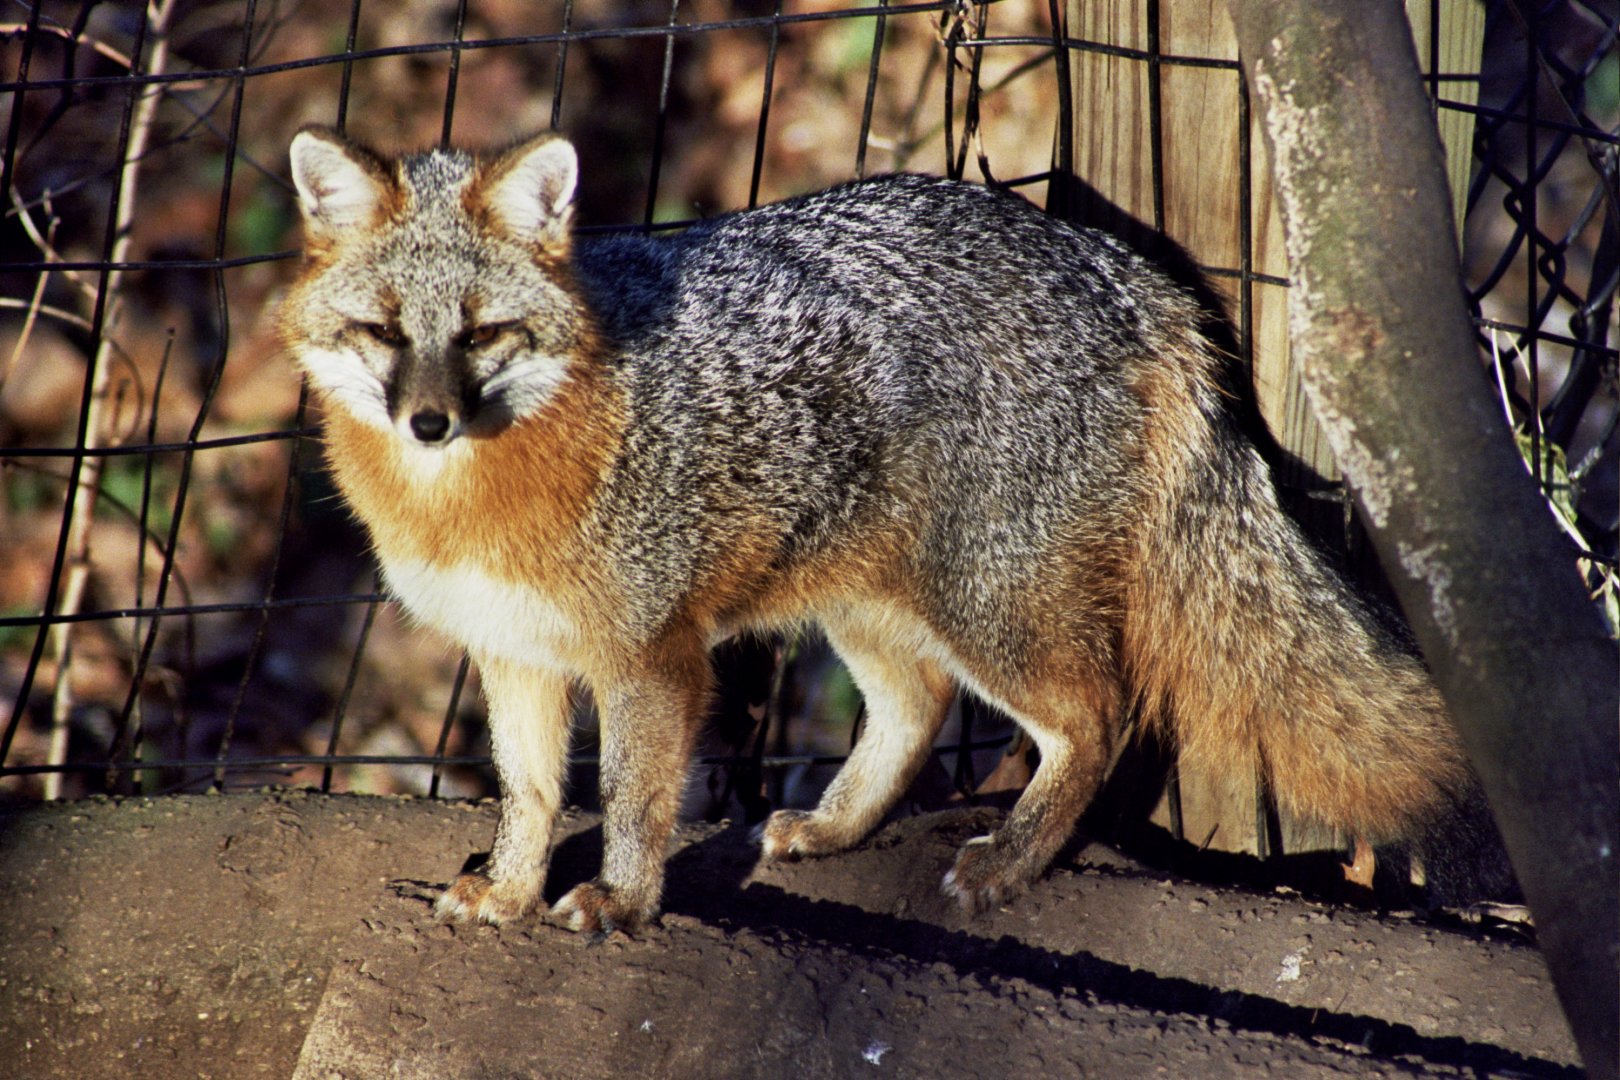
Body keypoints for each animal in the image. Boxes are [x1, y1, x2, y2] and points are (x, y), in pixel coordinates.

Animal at [280, 125, 1478, 934]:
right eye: (382, 331)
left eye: (482, 333)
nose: (427, 421)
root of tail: (1127, 275)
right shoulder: (515, 654)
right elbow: (529, 794)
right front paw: (513, 889)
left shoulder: (651, 656)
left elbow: (627, 797)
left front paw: (619, 901)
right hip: (868, 604)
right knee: (919, 709)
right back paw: (836, 826)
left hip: (989, 609)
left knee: (1099, 717)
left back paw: (1010, 859)